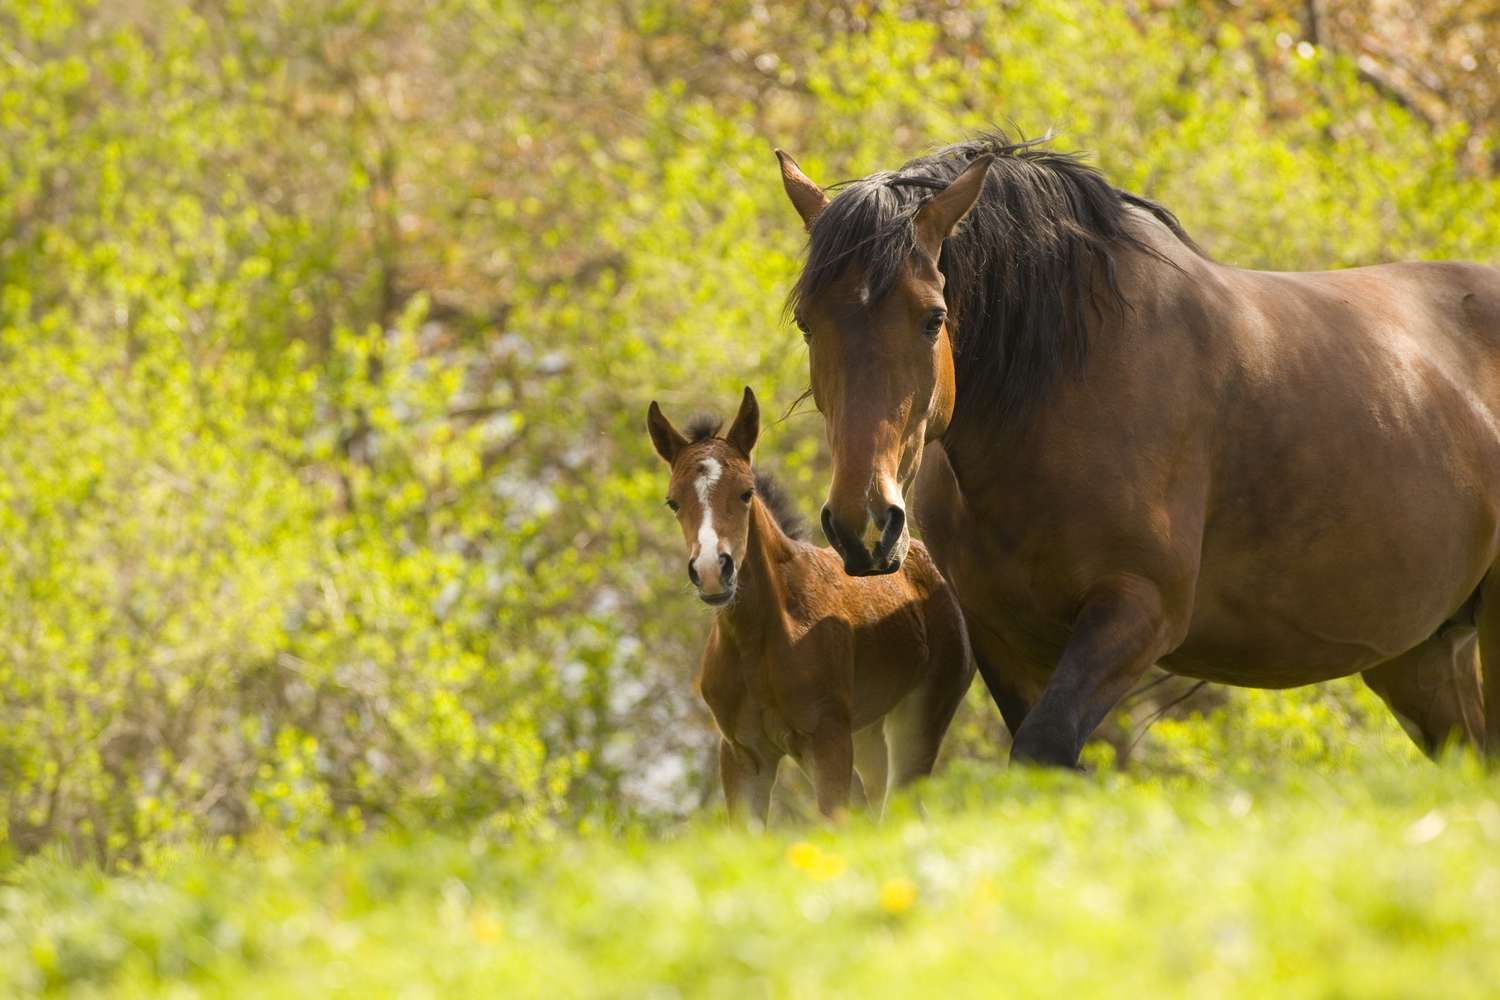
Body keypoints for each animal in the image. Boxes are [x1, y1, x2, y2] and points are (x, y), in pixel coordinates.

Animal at [645, 386, 972, 821]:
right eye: (673, 502)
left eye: (746, 493)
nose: (713, 571)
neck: (758, 640)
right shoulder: (743, 756)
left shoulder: (826, 742)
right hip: (866, 734)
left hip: (917, 719)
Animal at [780, 132, 1494, 773]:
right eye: (808, 323)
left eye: (933, 318)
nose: (865, 525)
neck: (1058, 390)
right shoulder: (1004, 638)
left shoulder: (1139, 610)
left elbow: (1045, 748)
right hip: (1422, 656)